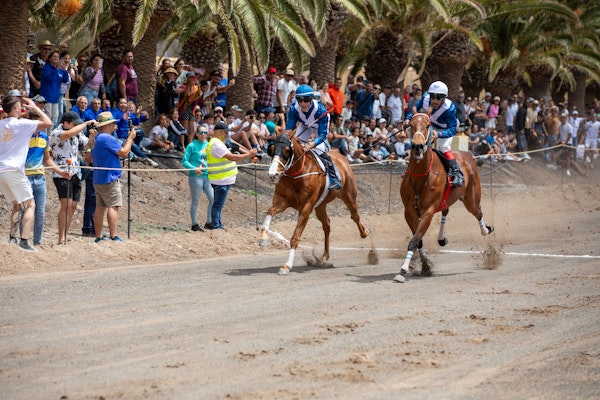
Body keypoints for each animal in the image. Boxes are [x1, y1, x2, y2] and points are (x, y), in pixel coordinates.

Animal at [258, 133, 368, 274]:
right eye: (271, 149)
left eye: (287, 150)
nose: (273, 174)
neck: (297, 176)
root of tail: (341, 157)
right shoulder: (281, 201)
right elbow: (270, 212)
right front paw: (263, 239)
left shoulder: (306, 208)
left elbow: (295, 237)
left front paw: (287, 265)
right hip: (320, 206)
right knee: (327, 225)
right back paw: (324, 257)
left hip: (349, 197)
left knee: (355, 216)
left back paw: (365, 233)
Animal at [392, 112, 494, 282]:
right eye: (410, 125)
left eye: (427, 125)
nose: (417, 146)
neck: (421, 176)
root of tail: (467, 154)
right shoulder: (409, 212)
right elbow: (418, 240)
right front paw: (425, 267)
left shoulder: (428, 211)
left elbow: (414, 241)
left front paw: (403, 270)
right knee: (446, 211)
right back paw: (441, 238)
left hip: (471, 199)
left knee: (478, 212)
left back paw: (486, 230)